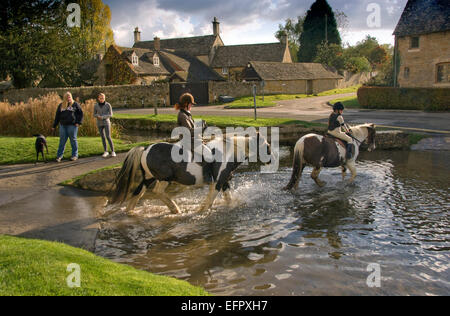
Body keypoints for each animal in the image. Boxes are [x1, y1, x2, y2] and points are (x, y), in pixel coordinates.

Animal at [110, 134, 272, 215]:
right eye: (267, 146)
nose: (270, 160)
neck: (229, 151)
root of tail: (145, 149)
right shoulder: (218, 182)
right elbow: (210, 201)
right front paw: (202, 210)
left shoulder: (224, 181)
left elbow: (228, 199)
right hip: (165, 178)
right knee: (157, 192)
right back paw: (175, 209)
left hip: (148, 178)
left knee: (138, 193)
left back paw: (131, 212)